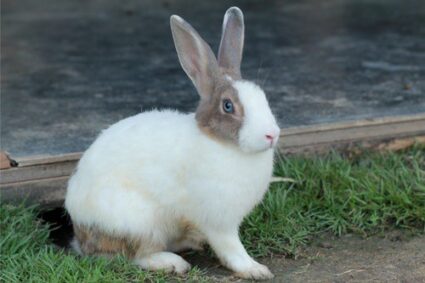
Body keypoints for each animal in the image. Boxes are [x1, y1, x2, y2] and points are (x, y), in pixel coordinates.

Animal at [64, 6, 280, 282]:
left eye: (263, 97)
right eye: (228, 106)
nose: (272, 134)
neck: (224, 145)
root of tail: (80, 236)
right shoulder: (218, 221)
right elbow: (231, 248)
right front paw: (255, 269)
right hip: (138, 222)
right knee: (134, 255)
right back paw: (172, 263)